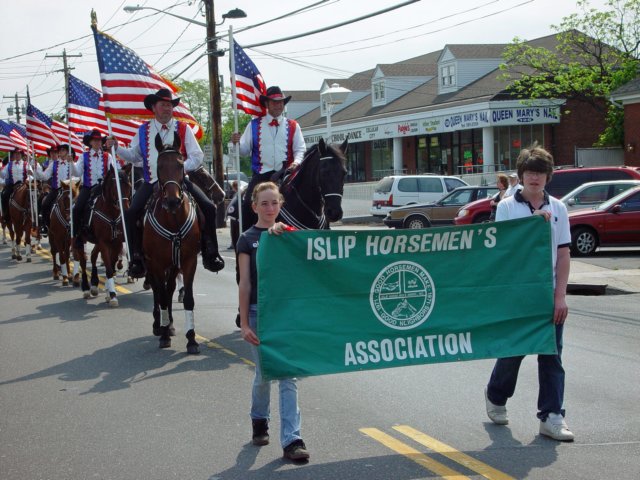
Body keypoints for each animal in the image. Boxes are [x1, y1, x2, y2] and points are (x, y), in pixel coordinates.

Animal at [75, 163, 132, 306]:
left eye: (129, 186)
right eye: (115, 186)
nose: (125, 209)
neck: (111, 211)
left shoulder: (116, 242)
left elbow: (110, 265)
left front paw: (108, 292)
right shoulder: (104, 242)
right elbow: (109, 268)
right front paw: (112, 295)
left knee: (93, 256)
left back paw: (95, 284)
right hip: (80, 239)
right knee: (83, 262)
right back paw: (86, 288)